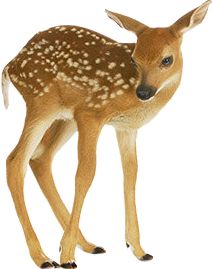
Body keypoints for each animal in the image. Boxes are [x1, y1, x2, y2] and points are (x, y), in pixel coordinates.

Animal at [0, 1, 211, 266]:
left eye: (167, 60)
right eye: (134, 59)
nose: (144, 92)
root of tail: (11, 65)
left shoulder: (126, 128)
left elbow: (130, 174)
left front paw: (138, 249)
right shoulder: (91, 115)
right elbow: (85, 174)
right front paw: (67, 257)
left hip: (64, 117)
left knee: (40, 157)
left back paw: (86, 245)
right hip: (41, 104)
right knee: (16, 160)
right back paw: (44, 257)